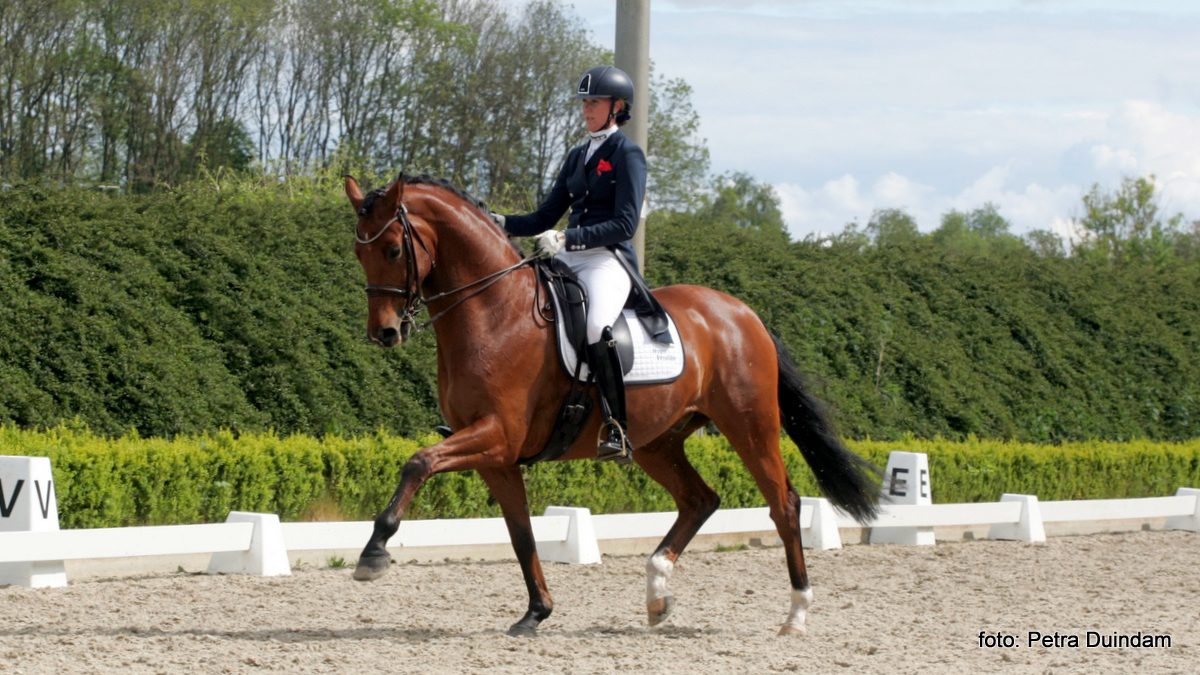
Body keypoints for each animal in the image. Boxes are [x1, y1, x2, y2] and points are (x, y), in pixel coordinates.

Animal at [343, 170, 878, 634]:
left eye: (393, 248)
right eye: (357, 252)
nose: (383, 333)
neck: (494, 310)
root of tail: (744, 313)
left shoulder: (496, 436)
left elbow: (417, 462)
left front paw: (373, 553)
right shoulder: (498, 456)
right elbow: (520, 533)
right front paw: (536, 613)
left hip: (750, 425)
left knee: (783, 504)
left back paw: (796, 615)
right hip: (658, 442)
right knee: (700, 500)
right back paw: (658, 595)